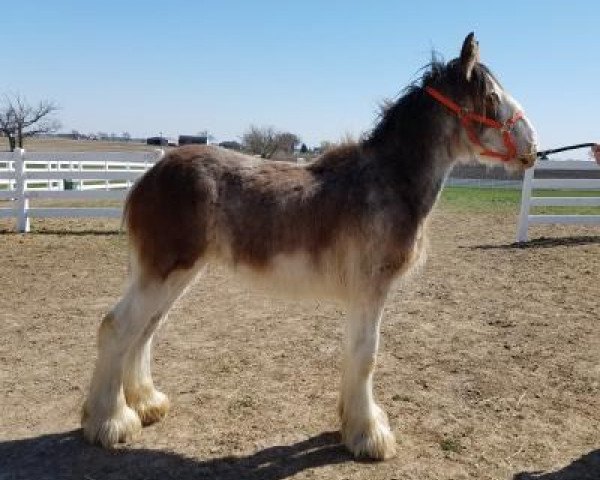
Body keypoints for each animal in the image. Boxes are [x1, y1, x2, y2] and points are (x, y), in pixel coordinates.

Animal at [82, 31, 536, 460]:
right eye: (491, 97)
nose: (533, 146)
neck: (387, 180)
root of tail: (149, 175)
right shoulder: (371, 290)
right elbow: (366, 356)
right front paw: (370, 437)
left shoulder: (363, 295)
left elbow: (355, 355)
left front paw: (355, 423)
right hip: (163, 271)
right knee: (118, 327)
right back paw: (111, 422)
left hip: (177, 274)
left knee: (145, 330)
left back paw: (147, 404)